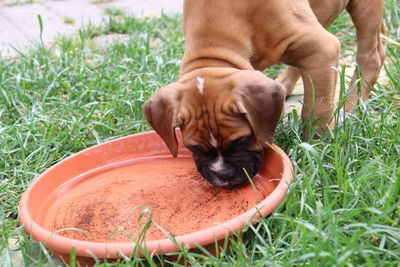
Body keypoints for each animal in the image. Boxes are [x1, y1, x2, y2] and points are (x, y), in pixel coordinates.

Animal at [142, 0, 386, 188]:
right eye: (193, 147)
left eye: (241, 140)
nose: (223, 176)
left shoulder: (321, 48)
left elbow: (317, 111)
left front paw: (316, 150)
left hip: (363, 10)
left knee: (371, 56)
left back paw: (353, 108)